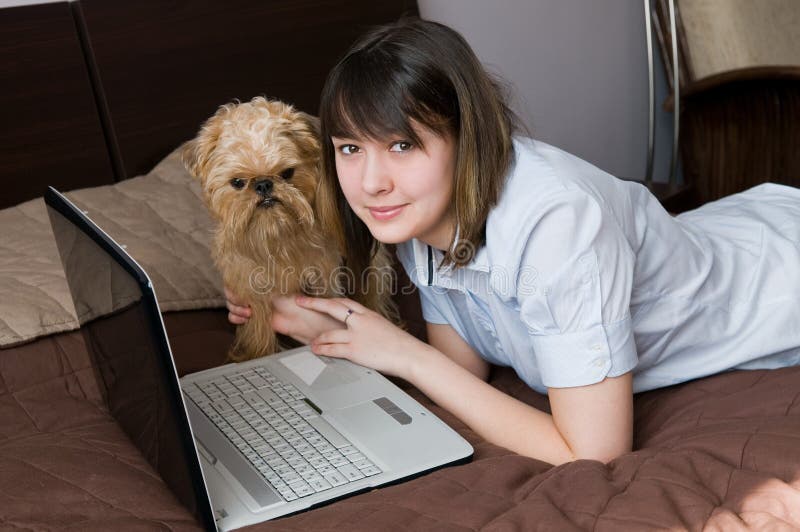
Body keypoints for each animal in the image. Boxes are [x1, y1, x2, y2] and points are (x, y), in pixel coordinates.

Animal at [180, 96, 394, 362]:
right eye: (237, 183)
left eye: (287, 173)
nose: (263, 184)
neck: (276, 236)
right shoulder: (249, 291)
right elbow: (259, 329)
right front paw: (254, 354)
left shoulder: (323, 279)